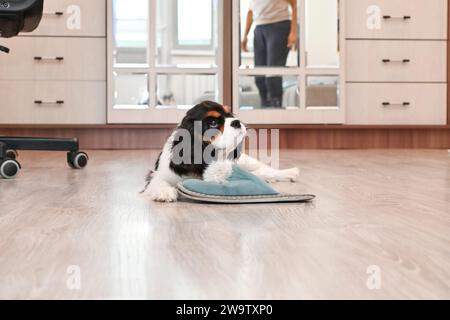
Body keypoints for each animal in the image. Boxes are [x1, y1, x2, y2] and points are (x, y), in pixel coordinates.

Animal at [142, 100, 300, 202]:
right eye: (213, 123)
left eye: (230, 114)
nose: (237, 122)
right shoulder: (156, 174)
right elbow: (157, 181)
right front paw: (165, 191)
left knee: (263, 169)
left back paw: (288, 173)